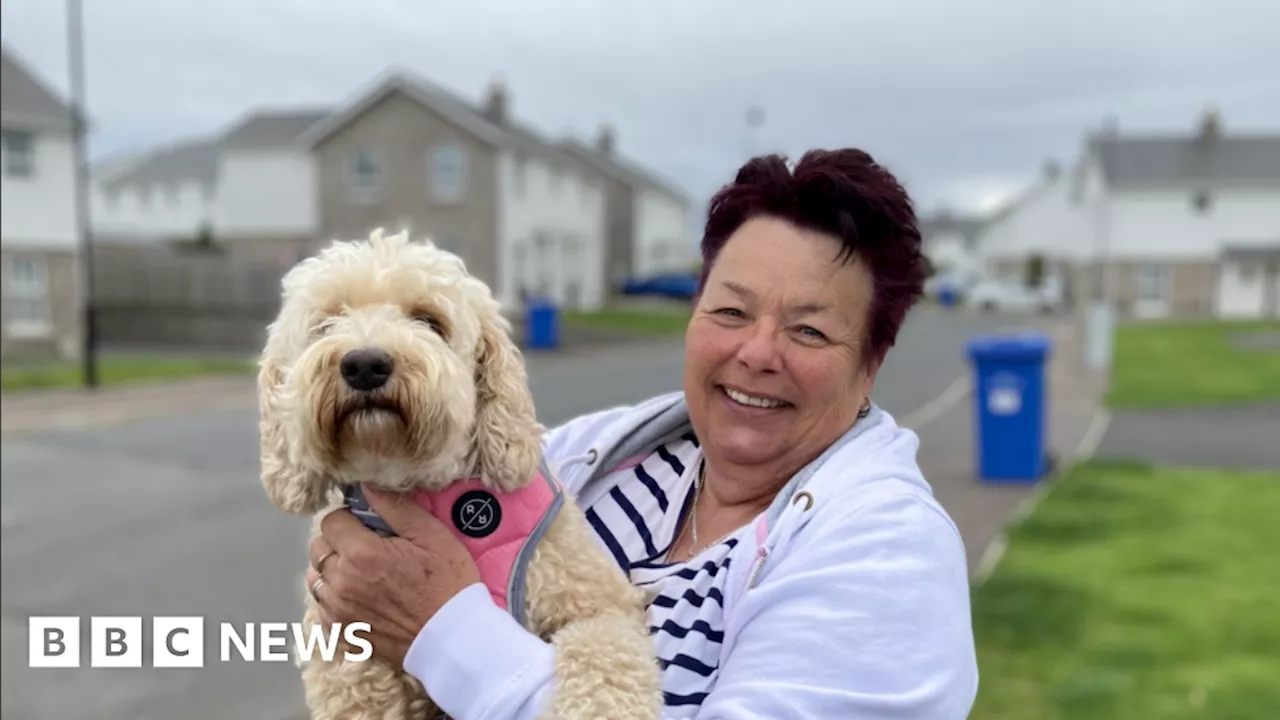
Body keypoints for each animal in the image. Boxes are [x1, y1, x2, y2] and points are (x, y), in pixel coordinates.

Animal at [256, 226, 665, 712]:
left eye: (430, 321)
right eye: (326, 324)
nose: (364, 364)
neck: (418, 484)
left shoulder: (600, 601)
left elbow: (604, 652)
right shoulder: (350, 667)